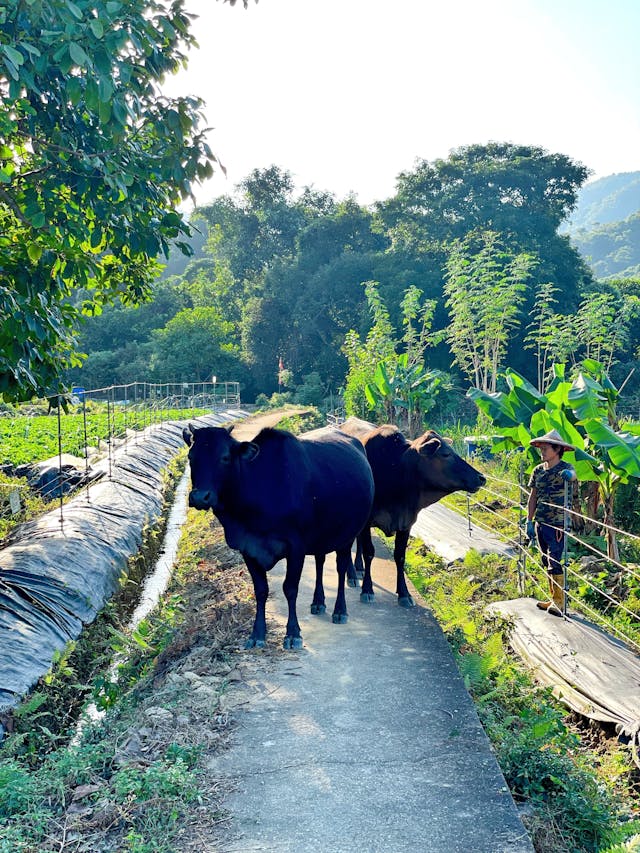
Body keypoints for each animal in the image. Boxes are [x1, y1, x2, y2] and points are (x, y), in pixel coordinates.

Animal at [182, 422, 376, 648]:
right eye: (191, 456)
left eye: (225, 457)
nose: (200, 497)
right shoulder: (248, 547)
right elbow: (261, 590)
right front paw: (257, 634)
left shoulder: (296, 547)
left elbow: (290, 588)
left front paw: (293, 633)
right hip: (321, 537)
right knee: (320, 562)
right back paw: (318, 602)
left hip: (348, 534)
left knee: (341, 567)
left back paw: (340, 610)